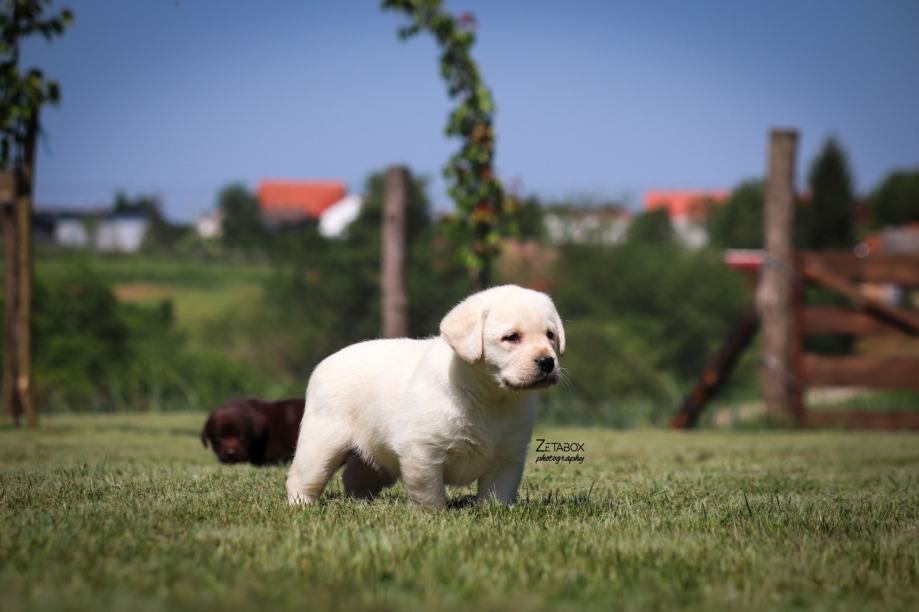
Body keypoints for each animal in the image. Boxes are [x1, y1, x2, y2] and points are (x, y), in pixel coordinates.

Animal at [286, 284, 565, 508]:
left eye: (550, 335)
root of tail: (324, 362)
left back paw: (364, 503)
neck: (490, 397)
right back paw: (301, 505)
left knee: (355, 476)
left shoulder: (508, 456)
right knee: (302, 476)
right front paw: (433, 517)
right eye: (512, 337)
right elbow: (430, 494)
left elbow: (498, 493)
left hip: (375, 456)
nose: (547, 362)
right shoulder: (422, 452)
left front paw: (495, 513)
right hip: (322, 443)